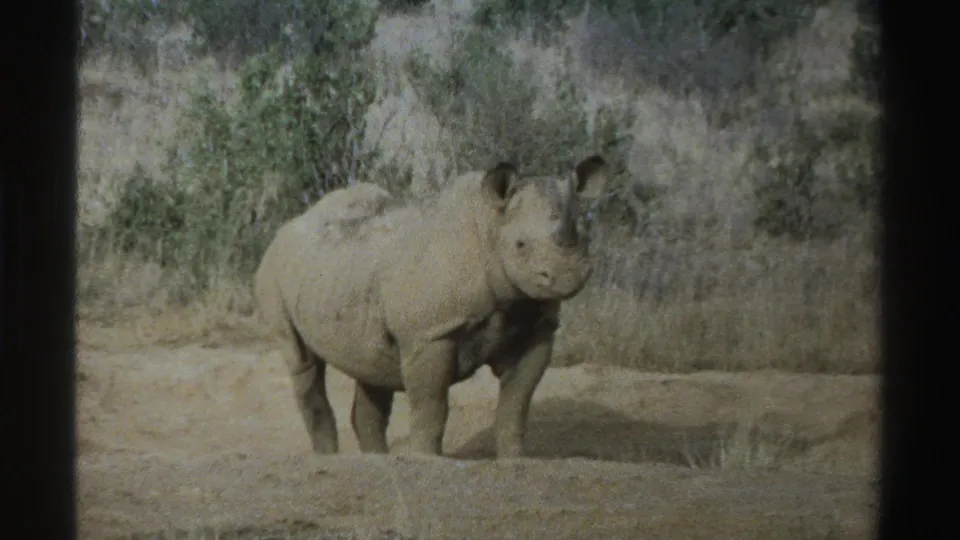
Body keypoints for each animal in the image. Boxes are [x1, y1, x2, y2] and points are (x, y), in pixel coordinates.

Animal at [254, 155, 609, 458]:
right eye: (520, 245)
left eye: (580, 236)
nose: (568, 275)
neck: (490, 228)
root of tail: (288, 226)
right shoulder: (429, 333)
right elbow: (431, 404)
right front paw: (426, 459)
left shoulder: (536, 327)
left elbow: (516, 404)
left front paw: (515, 460)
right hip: (273, 271)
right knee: (303, 362)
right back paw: (329, 457)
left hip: (341, 273)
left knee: (370, 367)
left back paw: (376, 460)